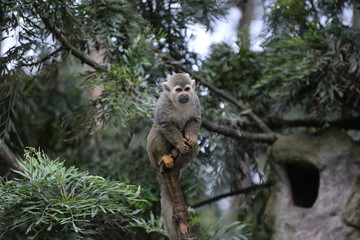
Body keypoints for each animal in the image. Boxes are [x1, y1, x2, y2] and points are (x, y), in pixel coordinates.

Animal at [147, 73, 202, 240]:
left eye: (187, 89)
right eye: (178, 90)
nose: (184, 95)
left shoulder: (195, 99)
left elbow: (195, 119)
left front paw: (191, 137)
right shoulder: (163, 103)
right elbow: (164, 124)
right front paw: (179, 143)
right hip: (152, 157)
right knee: (157, 129)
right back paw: (165, 157)